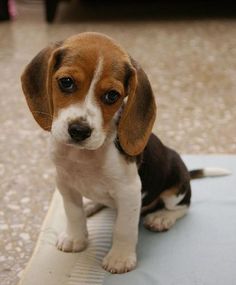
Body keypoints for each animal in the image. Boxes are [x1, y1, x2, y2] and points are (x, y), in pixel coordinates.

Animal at [20, 31, 229, 272]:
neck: (85, 156)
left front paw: (120, 257)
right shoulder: (65, 183)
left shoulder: (129, 192)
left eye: (112, 95)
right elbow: (73, 213)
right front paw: (75, 238)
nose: (79, 131)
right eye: (66, 82)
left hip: (175, 186)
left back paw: (161, 218)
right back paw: (91, 205)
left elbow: (124, 228)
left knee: (183, 206)